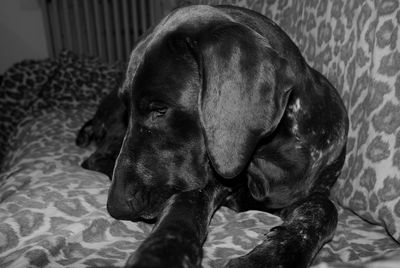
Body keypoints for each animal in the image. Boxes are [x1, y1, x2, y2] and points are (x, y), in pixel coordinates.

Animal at [104, 4, 348, 268]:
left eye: (160, 109)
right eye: (128, 109)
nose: (114, 206)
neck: (271, 155)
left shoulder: (315, 190)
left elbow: (324, 209)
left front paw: (273, 255)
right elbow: (182, 209)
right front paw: (161, 252)